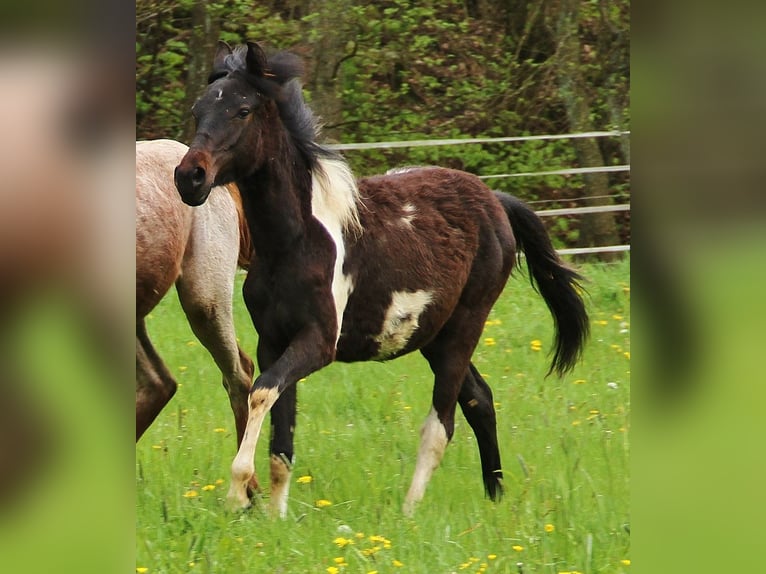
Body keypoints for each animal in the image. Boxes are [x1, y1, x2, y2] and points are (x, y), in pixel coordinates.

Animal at [174, 40, 592, 516]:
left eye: (242, 110)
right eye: (198, 110)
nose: (189, 177)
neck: (295, 241)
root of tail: (496, 201)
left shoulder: (318, 342)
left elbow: (261, 393)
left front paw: (236, 490)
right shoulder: (273, 342)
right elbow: (281, 436)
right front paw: (275, 516)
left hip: (465, 327)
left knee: (441, 424)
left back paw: (410, 512)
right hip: (435, 336)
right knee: (480, 400)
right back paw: (495, 497)